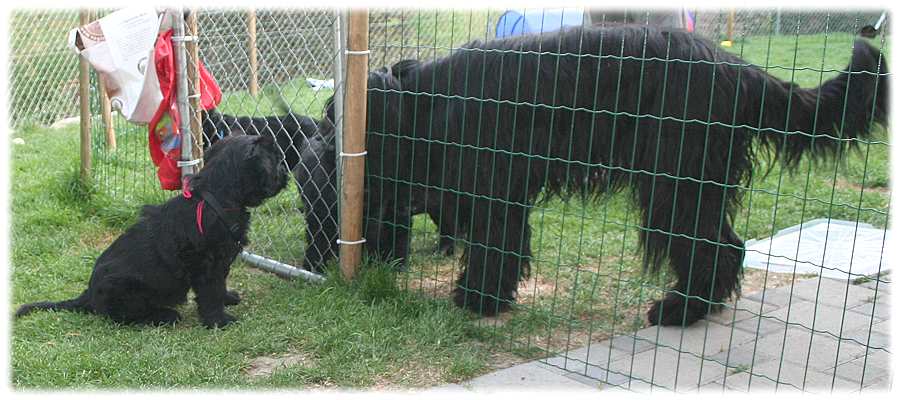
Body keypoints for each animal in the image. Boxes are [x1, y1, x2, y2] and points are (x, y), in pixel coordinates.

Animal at [15, 134, 288, 328]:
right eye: (275, 159)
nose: (286, 174)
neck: (215, 197)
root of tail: (88, 294)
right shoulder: (204, 263)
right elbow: (210, 290)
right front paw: (218, 321)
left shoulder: (221, 260)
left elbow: (220, 284)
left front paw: (227, 298)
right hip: (125, 290)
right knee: (123, 316)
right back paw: (165, 315)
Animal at [328, 25, 884, 324]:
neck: (425, 102)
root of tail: (736, 68)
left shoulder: (494, 193)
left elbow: (494, 245)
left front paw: (477, 298)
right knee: (724, 243)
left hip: (675, 181)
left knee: (712, 244)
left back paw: (679, 311)